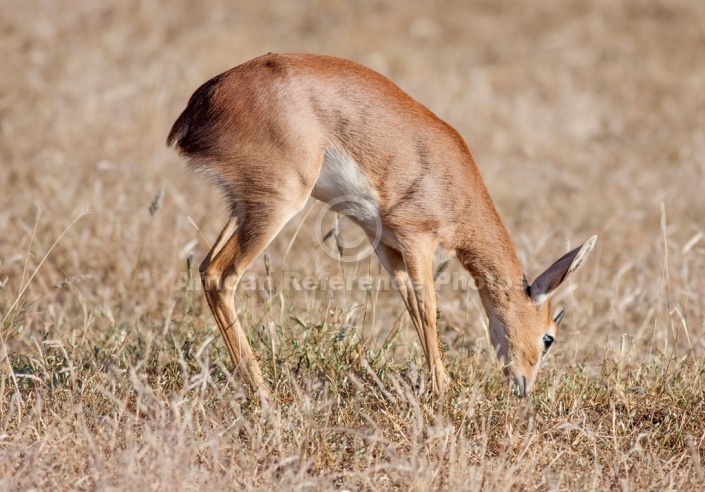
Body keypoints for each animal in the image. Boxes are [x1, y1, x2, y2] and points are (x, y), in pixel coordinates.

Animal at [168, 52, 596, 400]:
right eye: (549, 338)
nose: (525, 388)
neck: (455, 183)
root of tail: (203, 102)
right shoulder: (417, 238)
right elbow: (429, 309)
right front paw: (443, 390)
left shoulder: (385, 244)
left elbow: (411, 306)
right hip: (277, 204)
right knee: (222, 275)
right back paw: (263, 393)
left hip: (243, 207)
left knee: (205, 268)